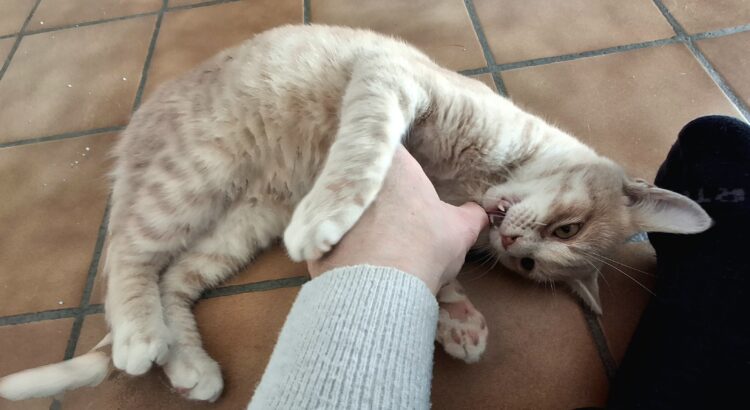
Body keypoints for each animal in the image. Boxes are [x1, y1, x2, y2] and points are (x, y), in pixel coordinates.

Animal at [0, 24, 711, 403]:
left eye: (532, 268)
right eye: (566, 230)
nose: (513, 244)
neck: (473, 180)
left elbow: (437, 273)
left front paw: (458, 323)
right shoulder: (388, 78)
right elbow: (364, 150)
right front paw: (331, 212)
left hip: (243, 223)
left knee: (173, 278)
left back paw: (188, 364)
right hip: (192, 178)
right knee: (126, 256)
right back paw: (141, 335)